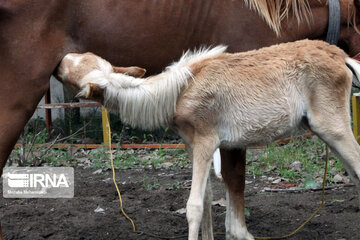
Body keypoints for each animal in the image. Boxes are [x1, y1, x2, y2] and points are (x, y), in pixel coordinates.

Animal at [0, 0, 360, 239]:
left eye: (74, 68)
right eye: (80, 58)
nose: (59, 61)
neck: (173, 94)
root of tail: (343, 58)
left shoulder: (207, 142)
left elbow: (194, 206)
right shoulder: (193, 145)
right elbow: (209, 202)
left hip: (333, 126)